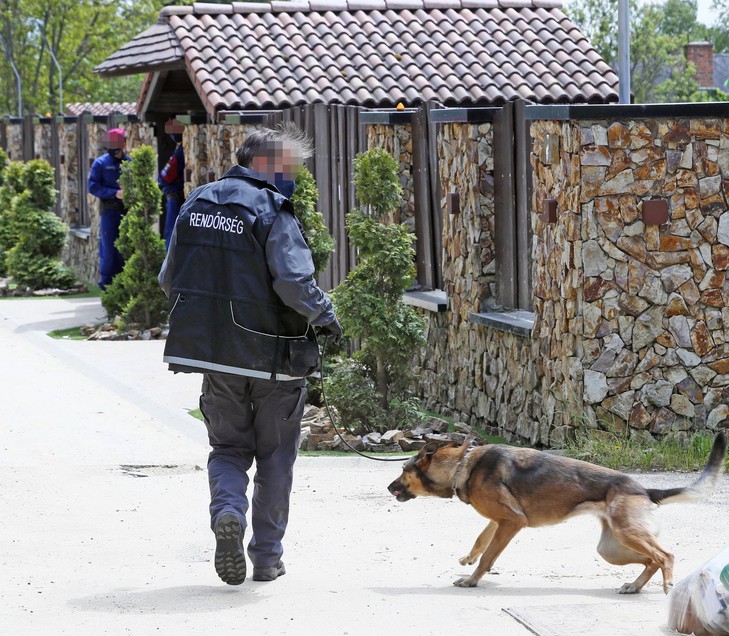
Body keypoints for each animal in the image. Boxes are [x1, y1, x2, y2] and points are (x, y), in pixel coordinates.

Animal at [386, 430, 724, 592]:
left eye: (403, 470)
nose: (389, 488)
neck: (461, 465)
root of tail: (643, 489)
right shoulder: (500, 521)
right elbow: (482, 540)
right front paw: (467, 559)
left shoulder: (512, 521)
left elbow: (488, 557)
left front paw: (472, 580)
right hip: (612, 548)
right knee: (651, 560)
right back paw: (634, 586)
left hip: (626, 535)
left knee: (664, 555)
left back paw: (666, 583)